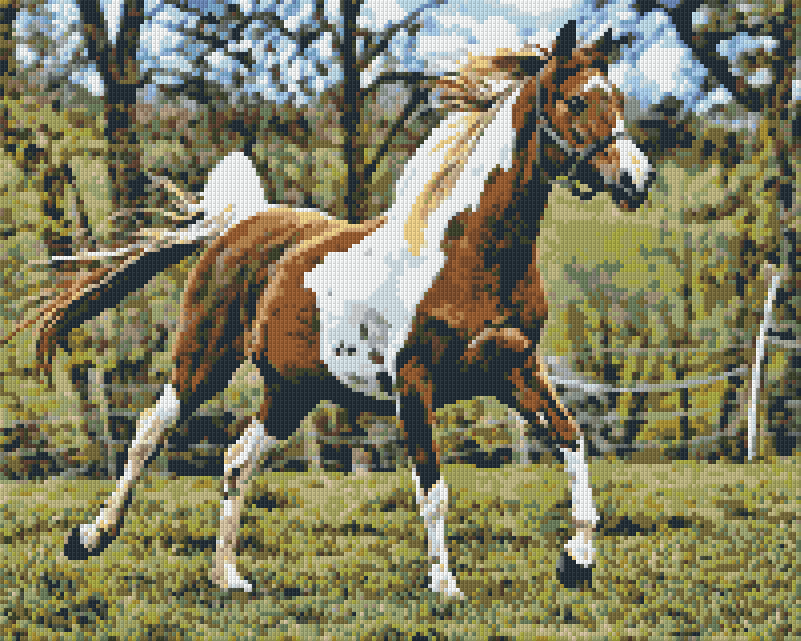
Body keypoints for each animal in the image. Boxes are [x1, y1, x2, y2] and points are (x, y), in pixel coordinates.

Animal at [15, 20, 653, 598]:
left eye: (619, 99)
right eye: (577, 101)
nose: (637, 179)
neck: (470, 254)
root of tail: (237, 224)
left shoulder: (514, 368)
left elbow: (572, 441)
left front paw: (577, 560)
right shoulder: (414, 382)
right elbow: (434, 490)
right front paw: (445, 586)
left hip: (291, 392)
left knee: (236, 460)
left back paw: (227, 576)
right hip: (202, 362)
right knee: (149, 433)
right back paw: (90, 537)